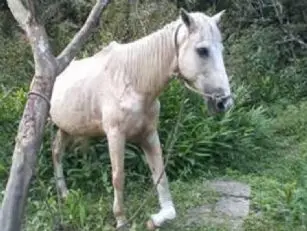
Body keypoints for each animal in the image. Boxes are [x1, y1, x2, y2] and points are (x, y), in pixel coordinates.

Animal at [50, 8, 233, 230]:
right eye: (202, 50)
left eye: (221, 49)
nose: (224, 102)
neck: (132, 80)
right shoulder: (116, 136)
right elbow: (118, 177)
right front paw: (121, 219)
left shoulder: (149, 134)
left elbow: (160, 174)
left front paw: (156, 218)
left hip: (66, 128)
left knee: (57, 151)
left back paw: (65, 194)